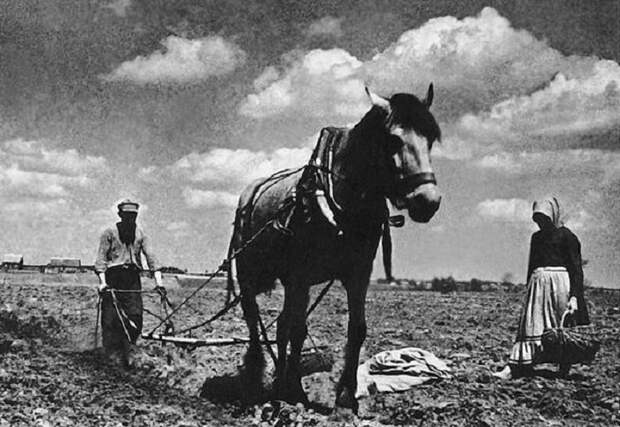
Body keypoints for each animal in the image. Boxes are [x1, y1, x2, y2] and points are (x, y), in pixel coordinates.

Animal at [228, 84, 440, 412]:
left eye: (430, 139)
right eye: (393, 139)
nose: (428, 200)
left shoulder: (357, 274)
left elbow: (356, 329)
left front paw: (347, 395)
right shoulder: (300, 276)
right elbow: (298, 331)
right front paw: (294, 391)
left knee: (281, 326)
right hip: (250, 276)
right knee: (255, 324)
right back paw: (259, 378)